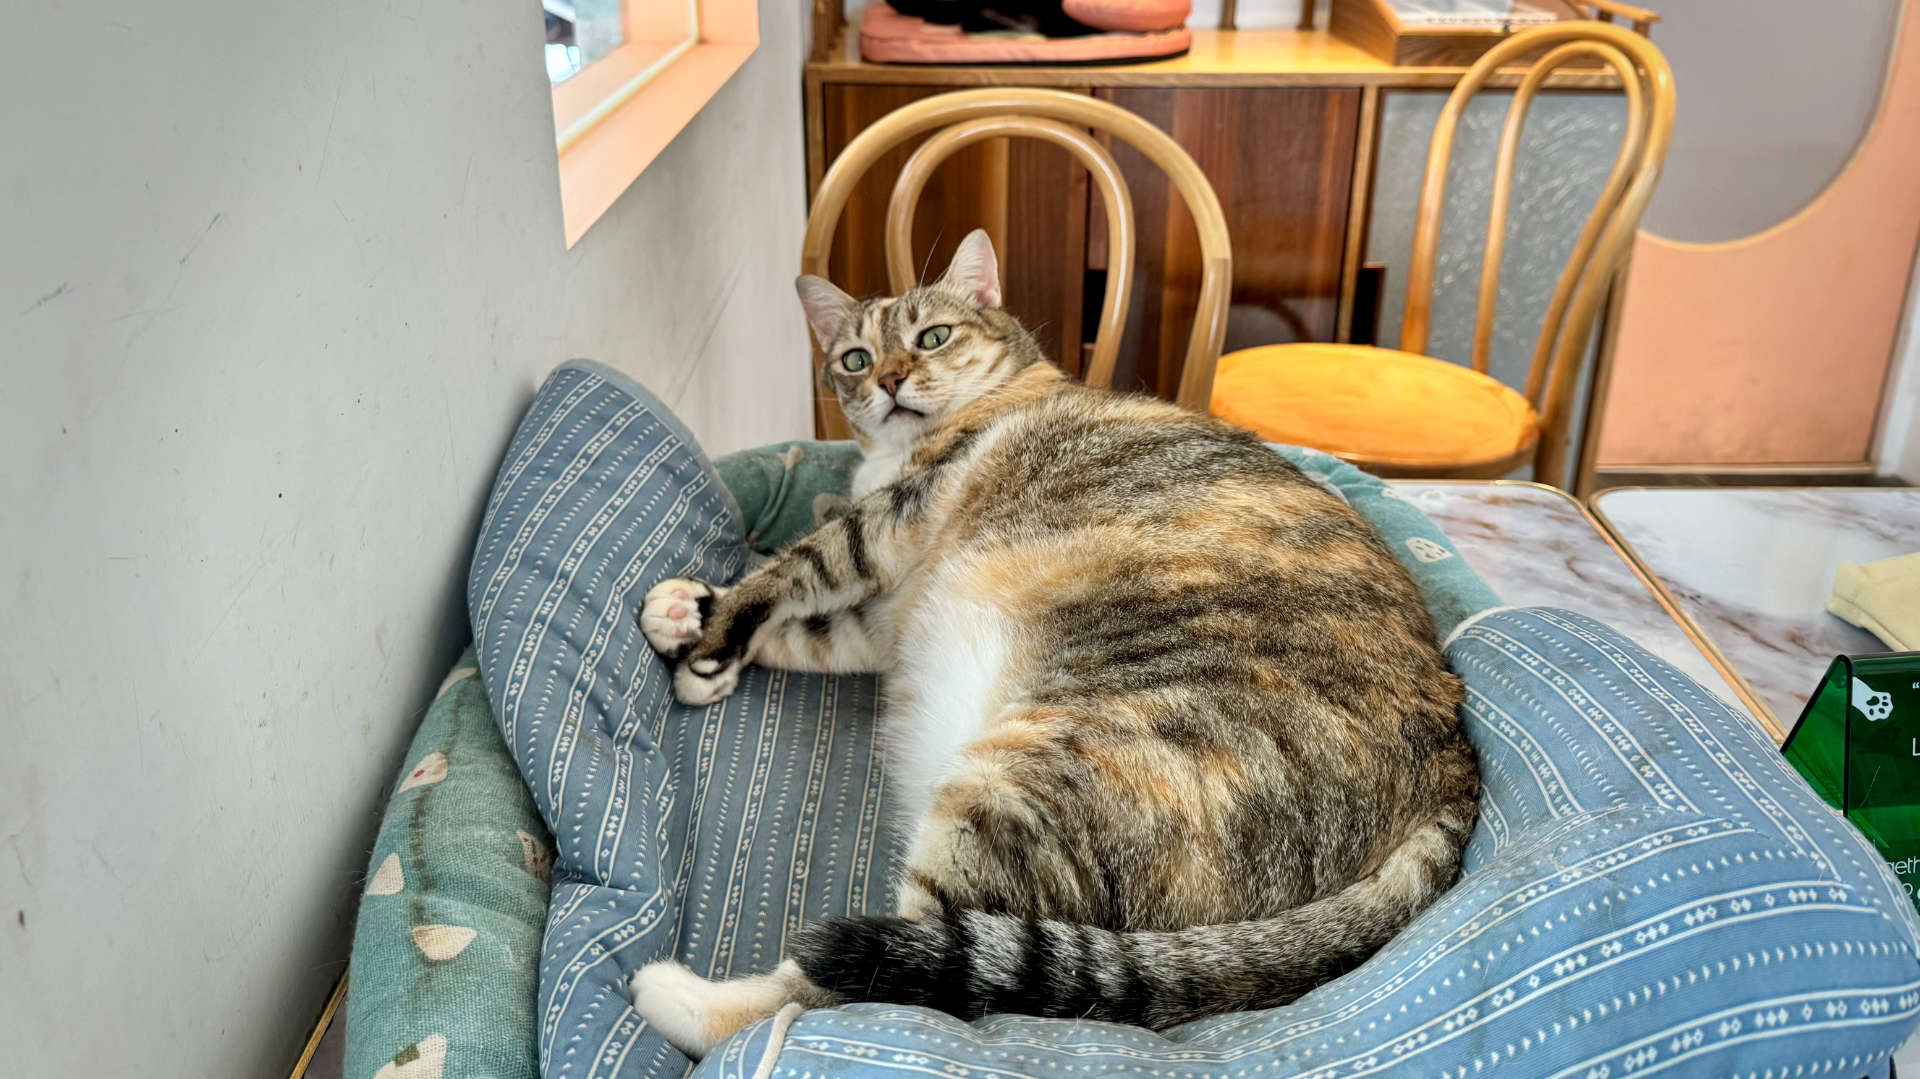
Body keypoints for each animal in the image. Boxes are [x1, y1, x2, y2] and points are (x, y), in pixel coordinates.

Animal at [622, 228, 1474, 1052]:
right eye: (855, 358)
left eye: (933, 337)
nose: (891, 380)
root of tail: (1454, 770)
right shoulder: (885, 613)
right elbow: (812, 626)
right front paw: (690, 617)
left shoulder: (896, 517)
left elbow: (798, 566)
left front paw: (713, 625)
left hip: (1027, 778)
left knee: (864, 980)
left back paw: (680, 997)